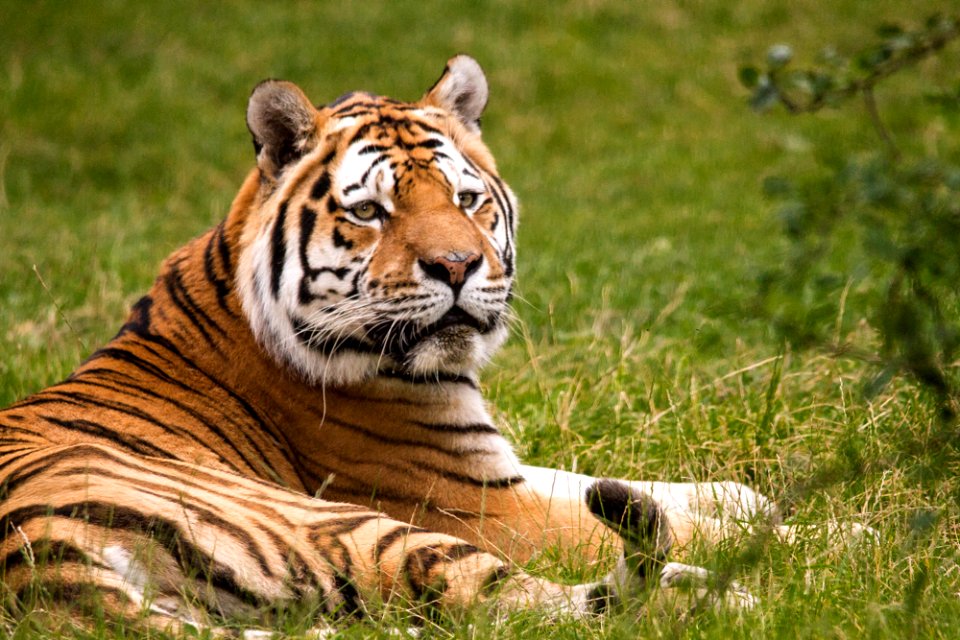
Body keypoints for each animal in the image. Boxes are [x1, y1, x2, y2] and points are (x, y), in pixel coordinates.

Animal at [0, 56, 808, 636]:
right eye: (370, 212)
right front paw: (826, 534)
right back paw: (731, 603)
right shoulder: (478, 506)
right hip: (352, 528)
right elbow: (712, 529)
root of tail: (44, 573)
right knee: (522, 605)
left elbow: (675, 492)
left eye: (466, 199)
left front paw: (752, 500)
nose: (457, 265)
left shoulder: (497, 471)